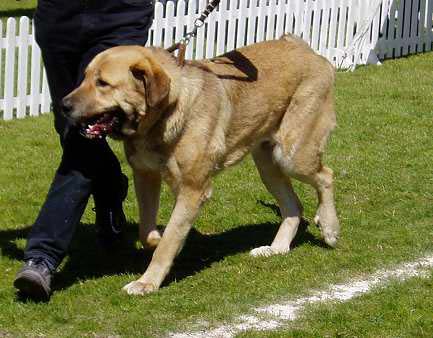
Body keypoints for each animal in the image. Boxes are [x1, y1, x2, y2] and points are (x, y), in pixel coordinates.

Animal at [62, 33, 340, 294]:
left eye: (102, 83)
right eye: (84, 78)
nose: (63, 105)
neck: (164, 115)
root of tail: (304, 47)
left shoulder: (193, 189)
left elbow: (169, 240)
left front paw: (147, 282)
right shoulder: (146, 176)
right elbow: (149, 232)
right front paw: (159, 240)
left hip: (292, 154)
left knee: (326, 175)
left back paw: (329, 228)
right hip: (267, 165)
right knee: (294, 205)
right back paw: (277, 248)